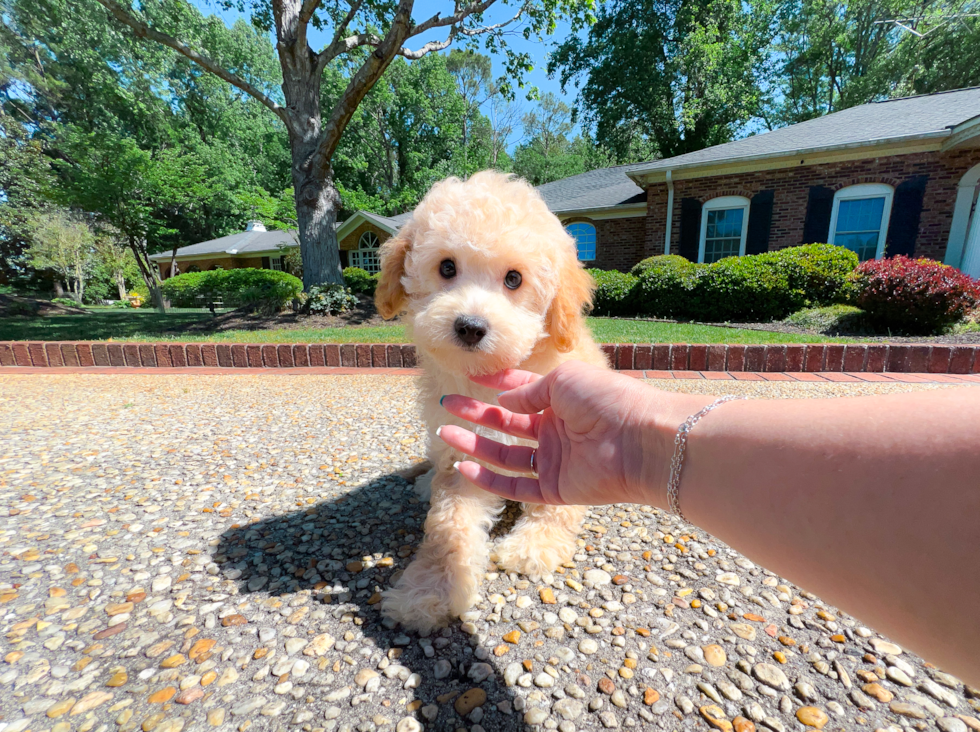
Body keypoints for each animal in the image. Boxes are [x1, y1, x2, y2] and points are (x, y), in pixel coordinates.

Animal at [378, 169, 612, 632]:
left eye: (513, 279)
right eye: (447, 267)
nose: (470, 326)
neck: (488, 382)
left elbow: (558, 505)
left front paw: (533, 546)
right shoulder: (463, 448)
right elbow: (448, 524)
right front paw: (427, 591)